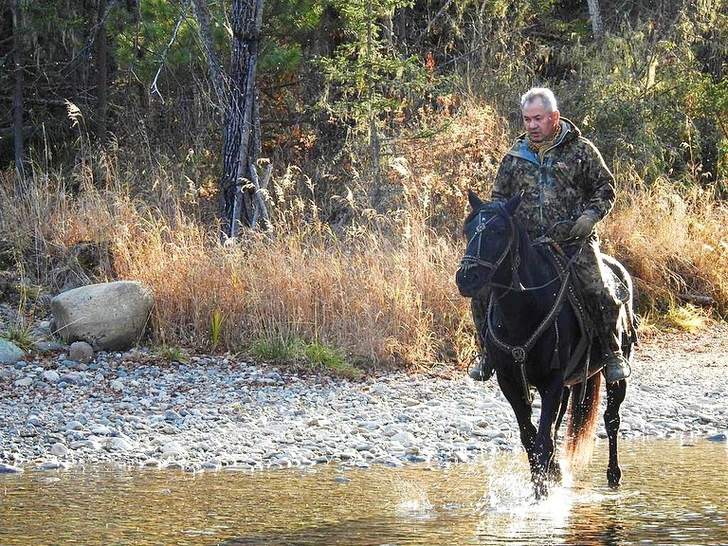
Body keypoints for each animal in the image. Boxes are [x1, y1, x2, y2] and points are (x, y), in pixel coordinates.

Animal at [458, 190, 636, 498]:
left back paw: (613, 475)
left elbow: (542, 442)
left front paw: (542, 495)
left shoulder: (551, 382)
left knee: (612, 419)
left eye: (499, 231)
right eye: (468, 230)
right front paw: (544, 482)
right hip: (566, 385)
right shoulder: (512, 383)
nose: (466, 278)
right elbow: (530, 438)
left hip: (614, 372)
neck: (523, 309)